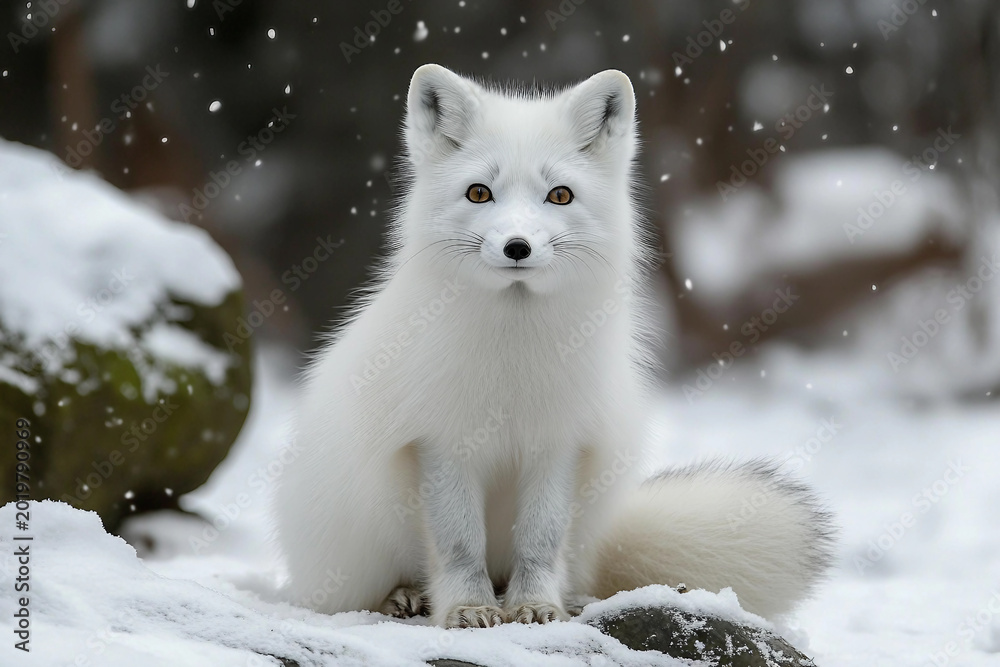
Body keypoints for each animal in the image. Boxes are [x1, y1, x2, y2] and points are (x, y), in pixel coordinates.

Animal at [274, 64, 834, 628]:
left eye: (560, 196)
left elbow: (540, 539)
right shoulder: (442, 443)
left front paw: (535, 606)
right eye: (479, 193)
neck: (514, 357)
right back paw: (406, 596)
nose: (517, 246)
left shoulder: (559, 443)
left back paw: (569, 599)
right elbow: (459, 543)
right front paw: (468, 607)